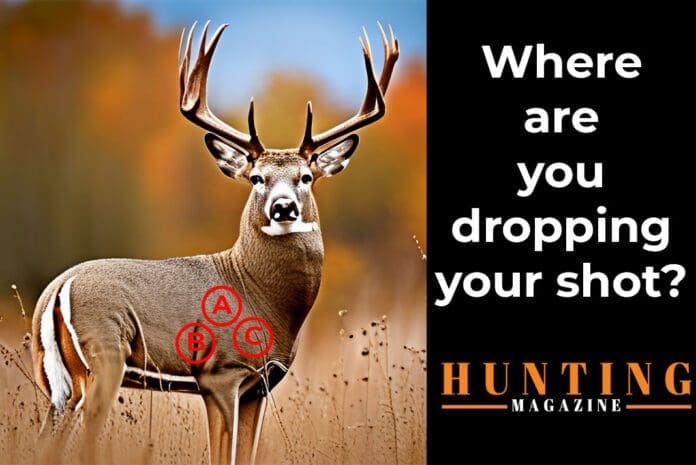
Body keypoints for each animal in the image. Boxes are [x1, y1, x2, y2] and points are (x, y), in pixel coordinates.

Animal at [31, 20, 398, 465]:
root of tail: (55, 291)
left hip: (55, 382)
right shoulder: (219, 373)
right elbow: (222, 454)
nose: (283, 207)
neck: (259, 292)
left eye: (306, 177)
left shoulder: (260, 385)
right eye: (256, 177)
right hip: (103, 357)